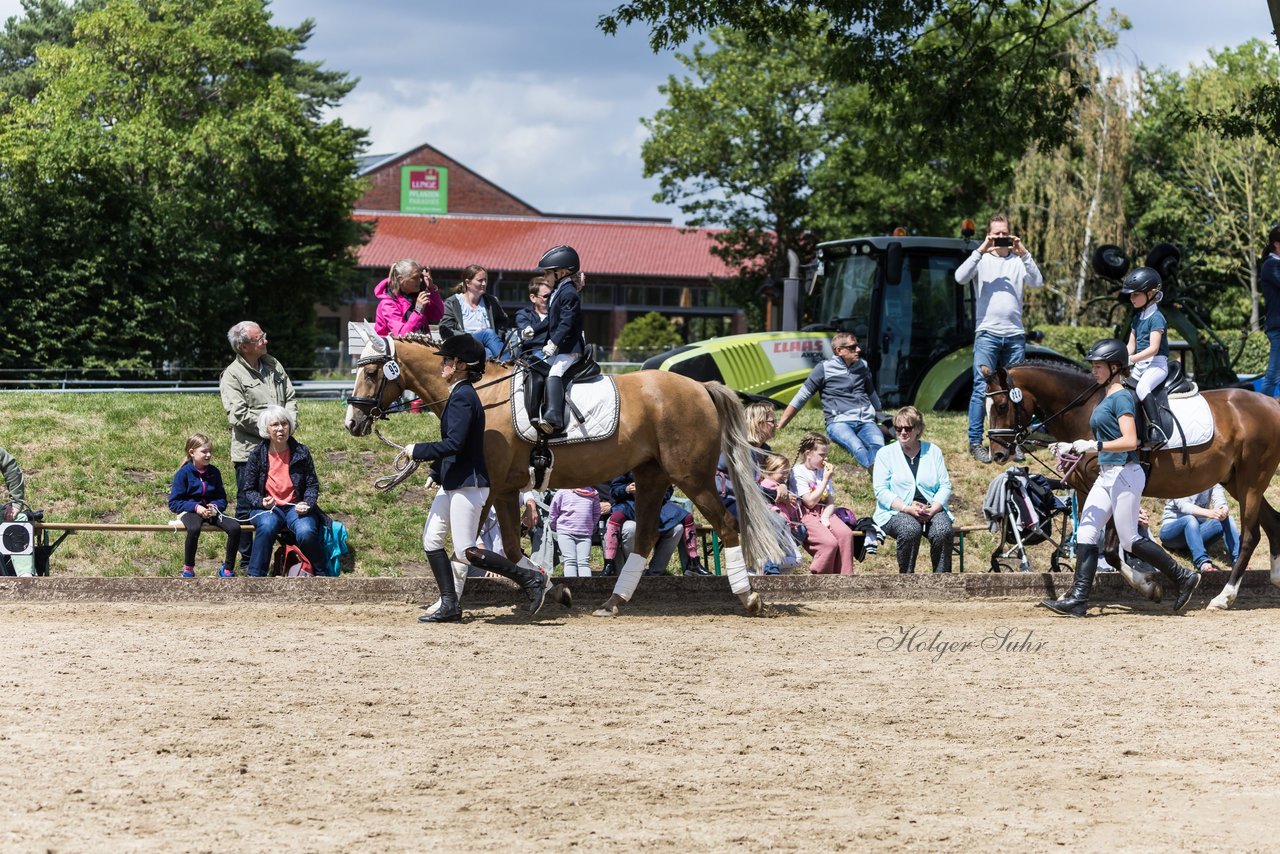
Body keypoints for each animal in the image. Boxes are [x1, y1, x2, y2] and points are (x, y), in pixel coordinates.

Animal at [345, 327, 793, 614]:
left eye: (371, 372)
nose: (352, 422)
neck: (480, 392)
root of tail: (701, 387)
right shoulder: (505, 490)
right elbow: (508, 549)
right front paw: (550, 589)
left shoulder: (490, 488)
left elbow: (468, 549)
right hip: (651, 475)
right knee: (646, 536)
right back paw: (613, 602)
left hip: (692, 478)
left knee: (728, 526)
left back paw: (749, 598)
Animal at [977, 361, 1280, 614]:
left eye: (1002, 405)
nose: (998, 454)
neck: (1085, 412)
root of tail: (1271, 403)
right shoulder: (1087, 491)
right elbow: (1094, 542)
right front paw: (1072, 595)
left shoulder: (1113, 488)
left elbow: (1113, 548)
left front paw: (1148, 586)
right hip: (1236, 481)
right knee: (1272, 522)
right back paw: (1275, 579)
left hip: (1251, 481)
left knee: (1251, 535)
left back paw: (1224, 597)